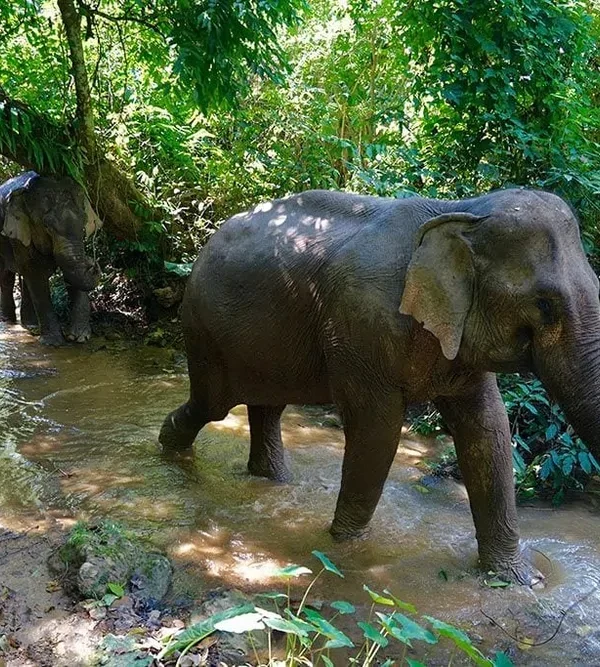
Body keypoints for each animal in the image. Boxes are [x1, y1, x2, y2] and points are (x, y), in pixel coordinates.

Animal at [0, 171, 102, 345]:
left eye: (84, 222)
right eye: (47, 226)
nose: (92, 263)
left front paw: (79, 337)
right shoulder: (19, 233)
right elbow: (35, 273)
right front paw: (53, 343)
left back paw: (31, 326)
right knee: (6, 278)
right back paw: (8, 321)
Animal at [159, 187, 600, 586]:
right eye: (544, 304)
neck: (461, 208)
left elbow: (487, 429)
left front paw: (519, 579)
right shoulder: (361, 328)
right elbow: (378, 430)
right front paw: (346, 550)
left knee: (268, 407)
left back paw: (271, 479)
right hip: (204, 330)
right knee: (213, 404)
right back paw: (168, 447)